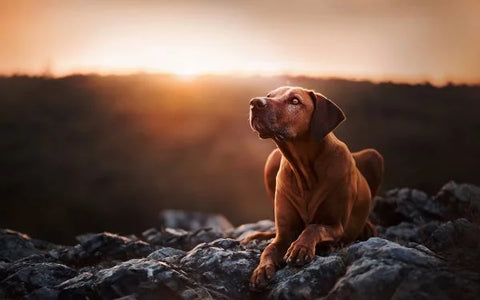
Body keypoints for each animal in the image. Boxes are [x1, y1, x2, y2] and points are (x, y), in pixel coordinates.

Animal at [246, 86, 384, 290]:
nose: (255, 103)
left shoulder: (336, 224)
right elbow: (270, 248)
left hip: (374, 156)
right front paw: (261, 270)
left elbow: (314, 227)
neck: (304, 171)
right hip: (272, 158)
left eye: (295, 101)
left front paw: (300, 247)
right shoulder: (284, 234)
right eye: (270, 96)